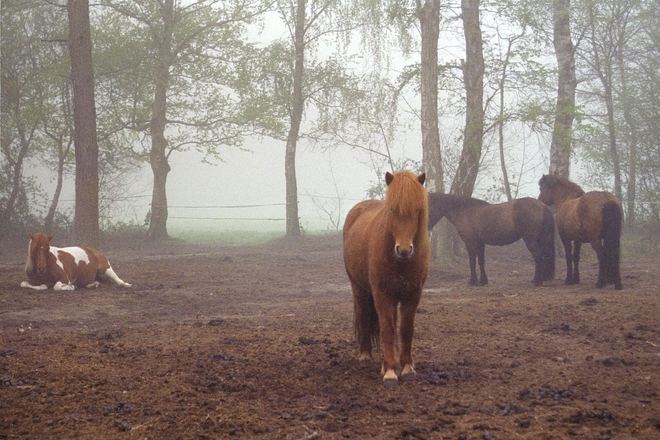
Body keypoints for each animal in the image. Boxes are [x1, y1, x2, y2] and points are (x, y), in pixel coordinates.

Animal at [342, 170, 430, 386]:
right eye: (392, 210)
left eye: (417, 210)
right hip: (358, 287)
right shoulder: (382, 295)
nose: (404, 250)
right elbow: (387, 329)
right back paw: (365, 356)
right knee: (364, 315)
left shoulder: (412, 295)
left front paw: (406, 368)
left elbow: (405, 329)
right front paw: (390, 372)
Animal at [428, 194, 556, 288]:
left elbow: (472, 262)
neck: (465, 211)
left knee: (538, 257)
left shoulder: (470, 243)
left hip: (530, 240)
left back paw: (537, 281)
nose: (428, 227)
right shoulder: (480, 243)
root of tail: (542, 206)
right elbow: (481, 261)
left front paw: (472, 281)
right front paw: (482, 281)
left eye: (429, 206)